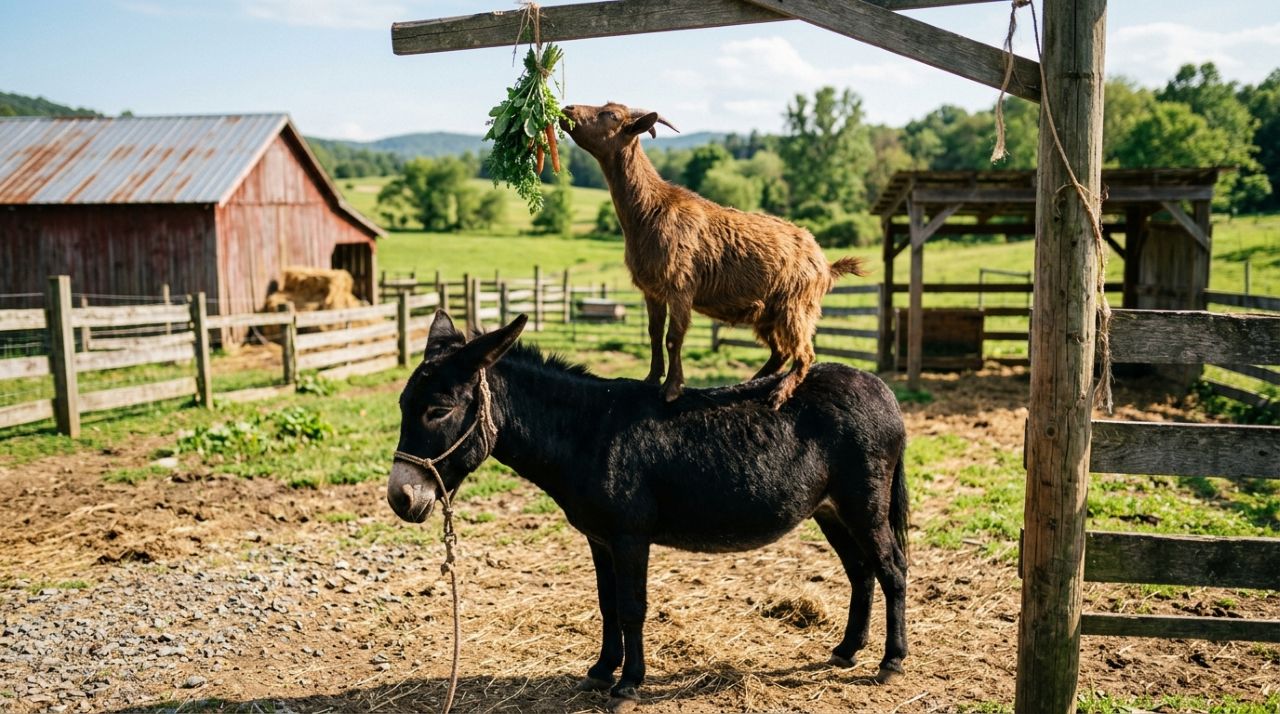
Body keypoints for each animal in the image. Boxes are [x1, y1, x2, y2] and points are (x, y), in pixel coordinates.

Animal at [561, 102, 867, 408]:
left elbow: (674, 337)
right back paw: (751, 381)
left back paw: (778, 394)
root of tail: (825, 265)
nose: (568, 109)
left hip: (797, 307)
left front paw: (672, 389)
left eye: (612, 115)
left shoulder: (680, 286)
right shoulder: (652, 290)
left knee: (804, 352)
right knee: (780, 352)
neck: (651, 210)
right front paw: (650, 379)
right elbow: (654, 333)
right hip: (767, 314)